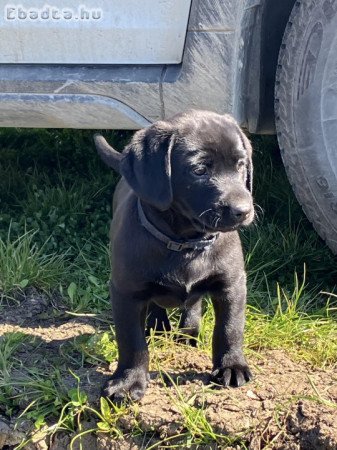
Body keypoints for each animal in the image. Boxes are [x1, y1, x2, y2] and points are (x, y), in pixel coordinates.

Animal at [93, 110, 253, 400]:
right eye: (199, 170)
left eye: (240, 165)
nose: (243, 211)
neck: (185, 244)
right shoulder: (125, 291)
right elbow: (131, 341)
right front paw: (128, 381)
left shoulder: (232, 284)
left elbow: (230, 328)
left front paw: (231, 366)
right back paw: (158, 325)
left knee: (193, 303)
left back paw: (189, 330)